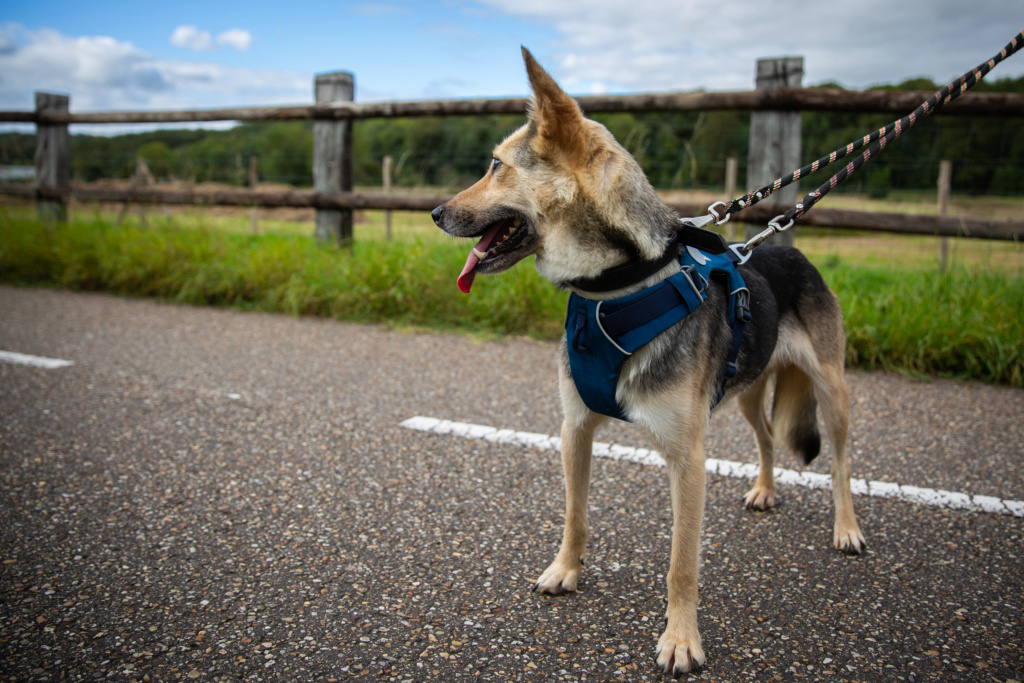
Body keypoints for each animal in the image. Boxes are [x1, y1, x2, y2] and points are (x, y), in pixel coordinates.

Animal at [428, 49, 868, 679]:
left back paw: (847, 528)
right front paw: (565, 571)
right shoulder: (575, 427)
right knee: (764, 436)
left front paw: (681, 640)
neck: (613, 289)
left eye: (495, 166)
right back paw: (764, 490)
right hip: (748, 390)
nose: (434, 212)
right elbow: (575, 515)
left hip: (831, 391)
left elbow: (682, 564)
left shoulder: (688, 458)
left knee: (840, 461)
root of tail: (792, 250)